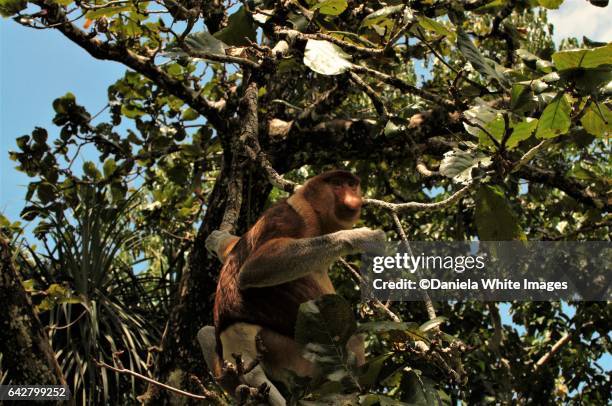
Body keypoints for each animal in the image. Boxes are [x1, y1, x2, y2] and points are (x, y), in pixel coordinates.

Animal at [198, 170, 384, 404]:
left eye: (351, 185)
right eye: (337, 184)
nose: (352, 197)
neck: (312, 207)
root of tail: (237, 340)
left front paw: (217, 240)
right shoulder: (294, 216)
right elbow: (254, 267)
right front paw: (362, 237)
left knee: (204, 333)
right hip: (294, 355)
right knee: (353, 340)